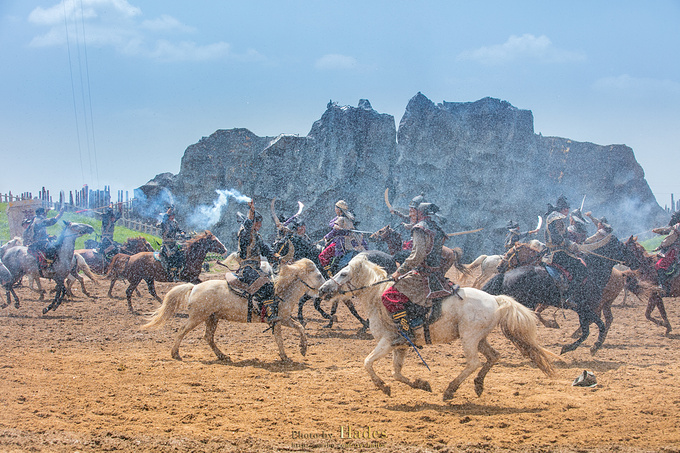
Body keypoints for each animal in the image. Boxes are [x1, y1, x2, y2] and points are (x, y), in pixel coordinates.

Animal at [142, 258, 326, 360]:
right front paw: (294, 352)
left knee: (208, 337)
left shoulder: (282, 319)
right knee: (182, 331)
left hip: (212, 318)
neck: (280, 291)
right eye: (318, 275)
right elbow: (284, 336)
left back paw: (222, 355)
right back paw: (175, 353)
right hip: (197, 317)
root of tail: (194, 287)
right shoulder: (278, 320)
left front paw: (296, 352)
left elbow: (297, 329)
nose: (324, 289)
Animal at [316, 254, 556, 400]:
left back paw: (451, 389)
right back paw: (478, 384)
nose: (323, 289)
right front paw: (420, 384)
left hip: (469, 338)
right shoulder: (400, 346)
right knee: (493, 356)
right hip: (480, 339)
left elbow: (367, 363)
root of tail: (496, 299)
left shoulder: (387, 342)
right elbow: (397, 373)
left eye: (343, 273)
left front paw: (382, 386)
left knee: (474, 362)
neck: (377, 297)